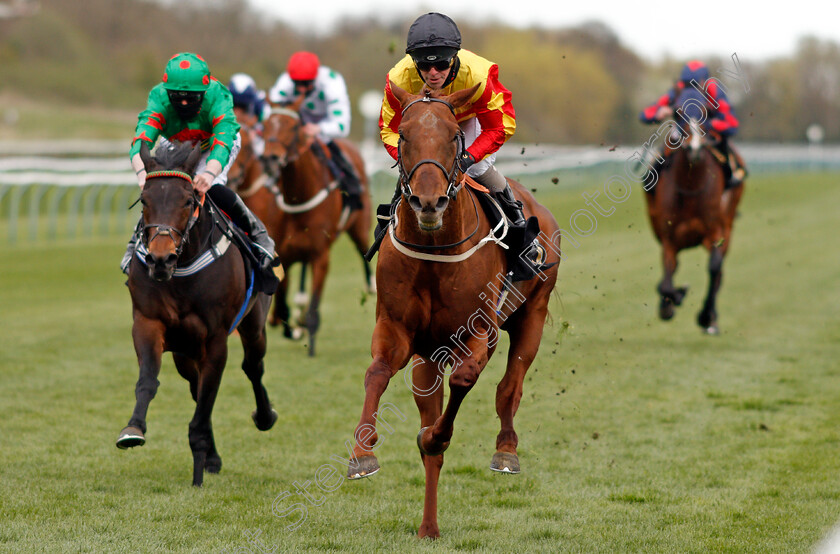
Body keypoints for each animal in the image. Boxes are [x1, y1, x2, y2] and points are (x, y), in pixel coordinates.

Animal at [117, 141, 278, 484]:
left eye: (188, 200)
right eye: (144, 200)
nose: (160, 259)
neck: (181, 270)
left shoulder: (215, 340)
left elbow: (207, 400)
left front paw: (199, 466)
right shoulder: (148, 323)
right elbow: (149, 380)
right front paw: (133, 429)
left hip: (254, 325)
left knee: (252, 367)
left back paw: (265, 416)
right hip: (184, 350)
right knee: (195, 384)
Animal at [260, 95, 370, 356]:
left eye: (294, 127)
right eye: (266, 124)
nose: (270, 158)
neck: (297, 197)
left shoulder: (321, 256)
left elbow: (313, 308)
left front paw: (308, 339)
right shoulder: (285, 254)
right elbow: (281, 307)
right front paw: (289, 325)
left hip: (360, 226)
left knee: (364, 248)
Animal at [344, 84, 560, 536]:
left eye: (454, 137)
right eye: (403, 135)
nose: (428, 202)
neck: (433, 250)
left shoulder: (480, 335)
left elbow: (464, 381)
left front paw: (436, 436)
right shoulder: (398, 331)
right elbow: (376, 373)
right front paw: (362, 453)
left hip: (532, 315)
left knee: (509, 388)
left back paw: (506, 451)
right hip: (428, 356)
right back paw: (429, 526)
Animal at [648, 88, 744, 334]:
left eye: (705, 111)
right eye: (677, 112)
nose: (694, 148)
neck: (691, 186)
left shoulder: (716, 232)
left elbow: (714, 268)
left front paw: (706, 316)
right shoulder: (669, 238)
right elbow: (667, 278)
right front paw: (673, 299)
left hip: (728, 226)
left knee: (719, 272)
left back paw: (711, 318)